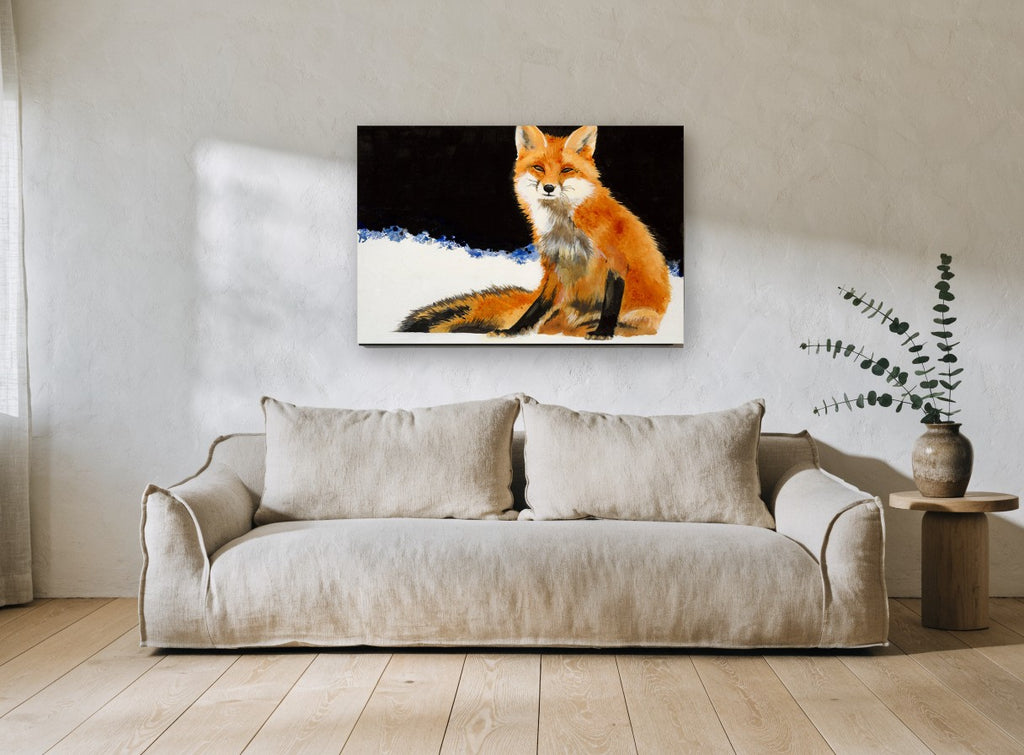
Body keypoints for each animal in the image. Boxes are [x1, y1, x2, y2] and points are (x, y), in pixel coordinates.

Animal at [398, 125, 671, 339]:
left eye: (566, 170)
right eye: (539, 168)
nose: (549, 187)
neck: (565, 229)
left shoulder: (614, 260)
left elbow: (611, 304)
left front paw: (603, 331)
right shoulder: (554, 266)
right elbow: (536, 307)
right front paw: (514, 331)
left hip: (642, 316)